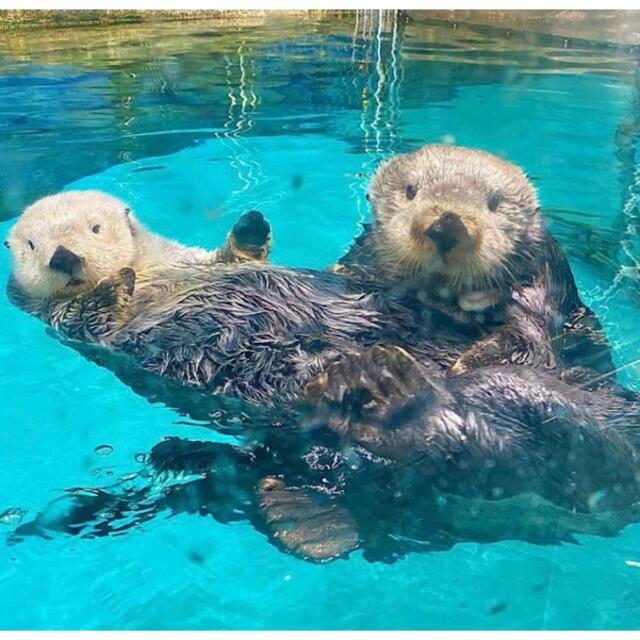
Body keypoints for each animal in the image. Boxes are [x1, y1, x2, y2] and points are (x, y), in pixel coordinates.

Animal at [332, 144, 612, 376]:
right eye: (410, 190)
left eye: (495, 202)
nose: (446, 226)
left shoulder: (538, 296)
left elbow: (531, 347)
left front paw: (461, 366)